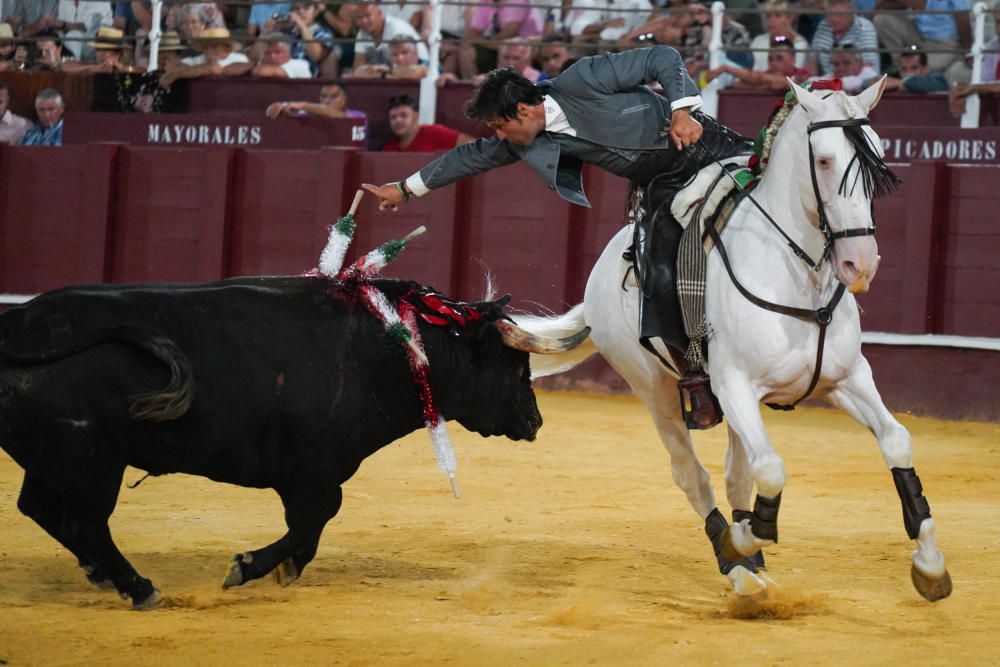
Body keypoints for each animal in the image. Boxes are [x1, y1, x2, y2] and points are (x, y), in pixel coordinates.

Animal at [0, 276, 584, 612]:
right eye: (513, 362)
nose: (534, 420)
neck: (386, 351)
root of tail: (18, 324)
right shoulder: (311, 472)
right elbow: (313, 523)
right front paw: (251, 567)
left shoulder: (311, 475)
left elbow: (311, 527)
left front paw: (278, 568)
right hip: (93, 463)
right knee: (84, 523)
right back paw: (139, 587)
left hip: (60, 460)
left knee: (43, 510)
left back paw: (104, 576)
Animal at [516, 81, 952, 604]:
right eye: (824, 161)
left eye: (877, 159)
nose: (860, 264)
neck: (801, 277)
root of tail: (598, 274)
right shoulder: (734, 384)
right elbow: (772, 470)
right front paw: (740, 541)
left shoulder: (847, 379)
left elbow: (897, 441)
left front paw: (930, 565)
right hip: (653, 388)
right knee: (693, 474)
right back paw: (739, 569)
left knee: (735, 473)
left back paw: (754, 569)